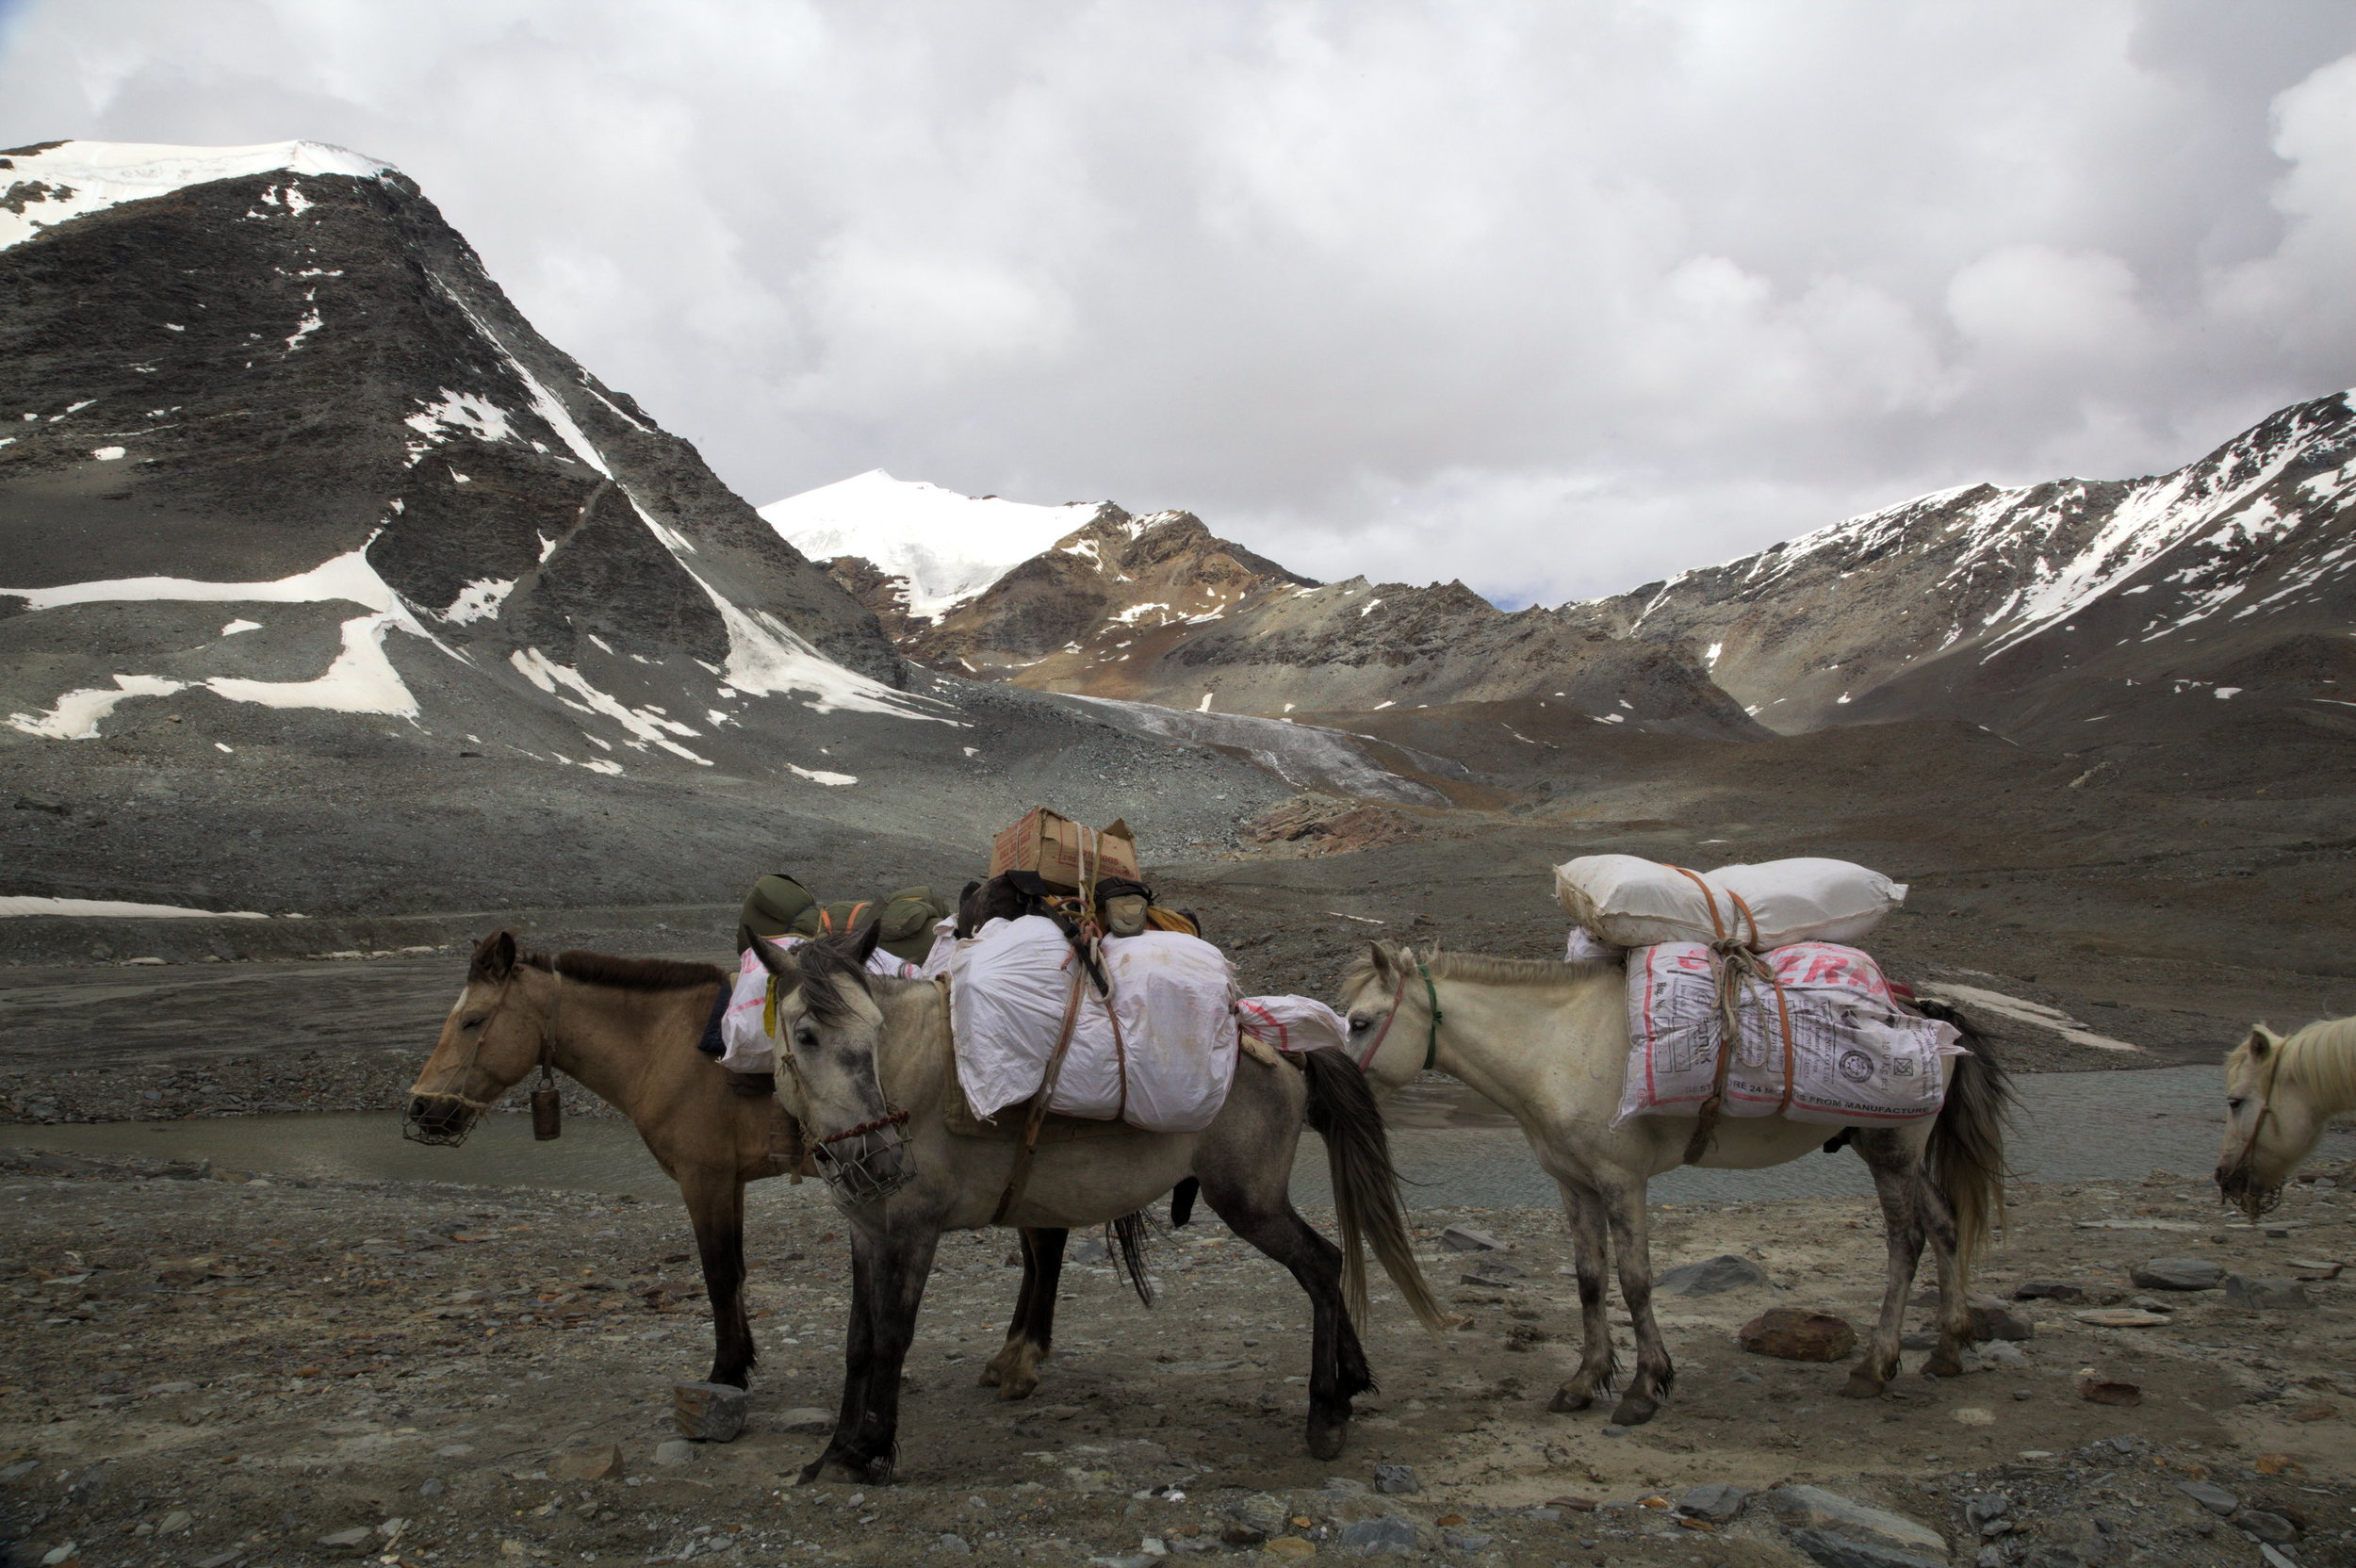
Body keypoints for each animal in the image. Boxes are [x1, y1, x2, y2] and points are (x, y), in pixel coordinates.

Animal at [1348, 932, 2007, 1422]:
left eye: (1359, 1021)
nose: (1339, 1087)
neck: (1554, 1048)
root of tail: (1922, 1013)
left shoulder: (1621, 1180)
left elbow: (1636, 1280)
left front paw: (1645, 1387)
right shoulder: (1574, 1184)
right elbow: (1589, 1280)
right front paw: (1583, 1383)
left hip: (1893, 1151)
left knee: (1906, 1241)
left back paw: (1875, 1367)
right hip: (1889, 1151)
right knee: (1945, 1225)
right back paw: (1947, 1350)